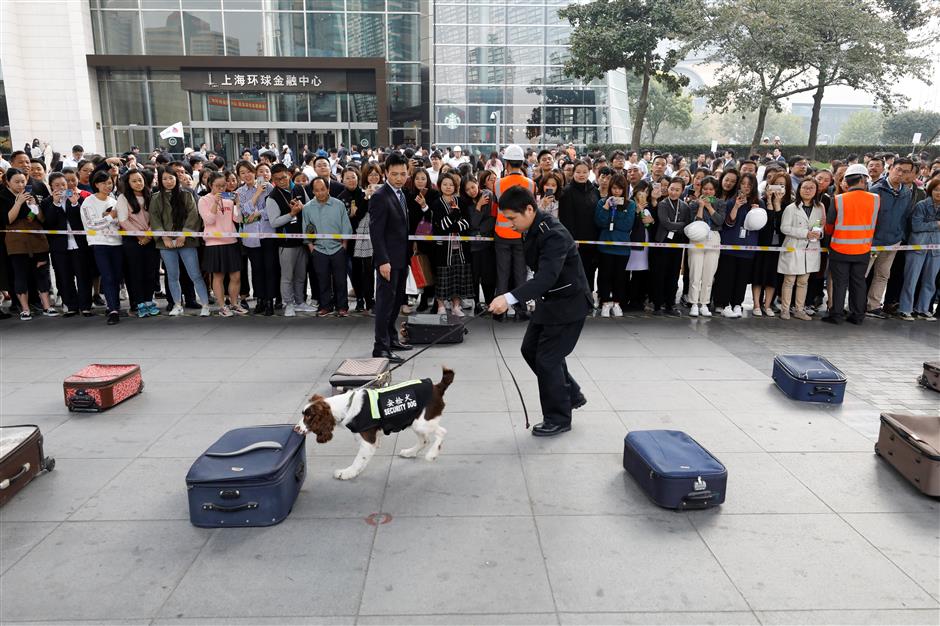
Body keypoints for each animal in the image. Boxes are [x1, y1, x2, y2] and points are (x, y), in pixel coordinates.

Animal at [294, 366, 456, 478]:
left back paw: (432, 454)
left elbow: (358, 459)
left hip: (422, 422)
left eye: (308, 417)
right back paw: (410, 452)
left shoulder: (368, 440)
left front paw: (347, 473)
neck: (346, 406)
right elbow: (362, 458)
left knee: (442, 432)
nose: (295, 429)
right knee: (424, 440)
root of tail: (437, 387)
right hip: (414, 421)